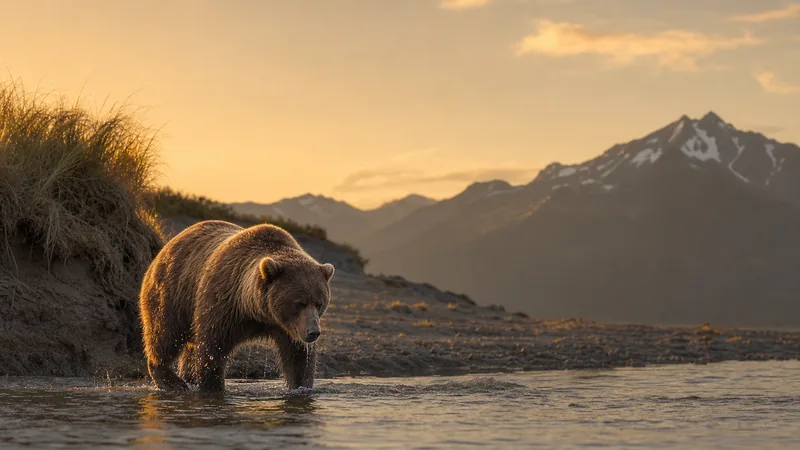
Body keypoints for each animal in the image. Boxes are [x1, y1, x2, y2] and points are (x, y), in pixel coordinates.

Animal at [138, 220, 335, 393]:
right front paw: (213, 387)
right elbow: (213, 348)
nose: (313, 332)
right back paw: (172, 381)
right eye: (299, 303)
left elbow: (298, 357)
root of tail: (169, 244)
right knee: (165, 333)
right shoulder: (223, 304)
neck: (256, 312)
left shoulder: (287, 327)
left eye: (319, 303)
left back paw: (187, 379)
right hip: (173, 292)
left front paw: (301, 386)